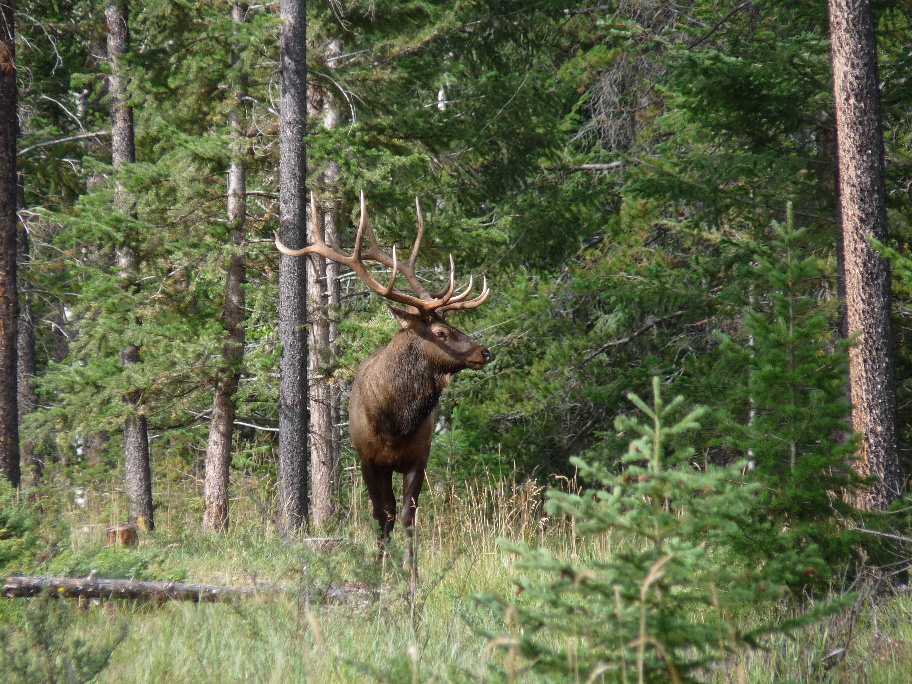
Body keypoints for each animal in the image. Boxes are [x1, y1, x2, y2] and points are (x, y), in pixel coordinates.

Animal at [274, 191, 492, 572]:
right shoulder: (369, 460)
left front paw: (411, 573)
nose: (484, 352)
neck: (394, 421)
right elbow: (382, 514)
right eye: (440, 332)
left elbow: (408, 516)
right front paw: (381, 569)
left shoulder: (418, 458)